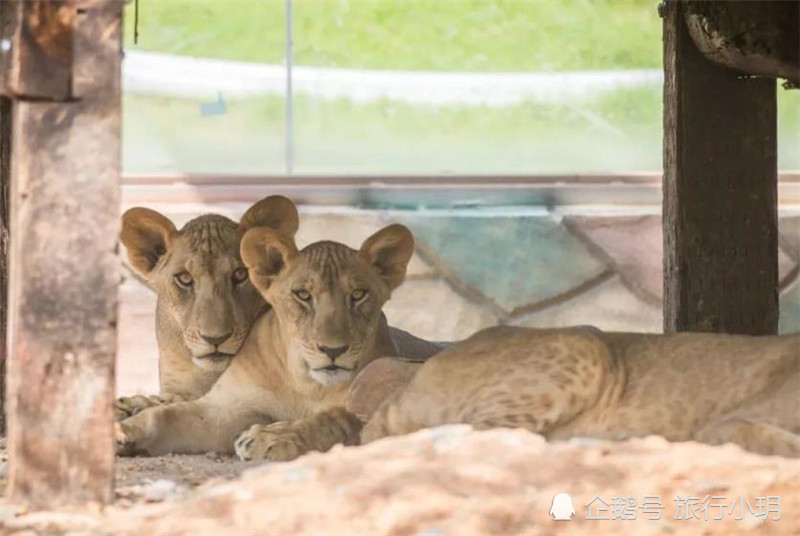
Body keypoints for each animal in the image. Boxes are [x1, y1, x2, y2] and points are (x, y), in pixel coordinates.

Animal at [115, 223, 440, 456]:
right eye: (303, 295)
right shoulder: (228, 406)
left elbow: (332, 420)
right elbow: (165, 417)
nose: (332, 350)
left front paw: (272, 436)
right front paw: (121, 430)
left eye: (358, 295)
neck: (304, 380)